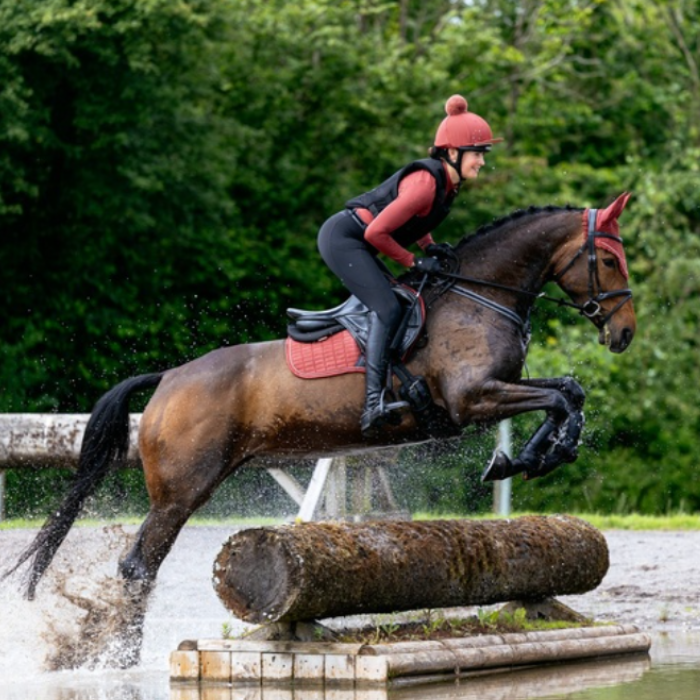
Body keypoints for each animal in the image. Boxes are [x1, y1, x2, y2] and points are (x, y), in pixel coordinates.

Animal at [4, 194, 636, 663]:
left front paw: (528, 458)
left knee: (143, 567)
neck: (480, 296)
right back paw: (120, 658)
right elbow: (558, 399)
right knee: (138, 565)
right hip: (183, 489)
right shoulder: (472, 398)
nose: (624, 332)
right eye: (608, 260)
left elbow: (568, 393)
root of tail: (169, 378)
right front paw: (528, 457)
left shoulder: (495, 392)